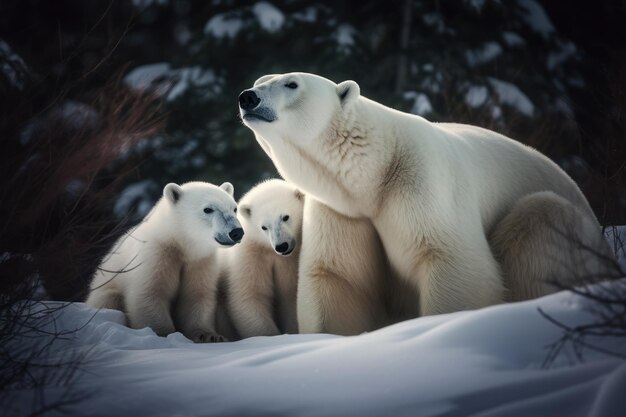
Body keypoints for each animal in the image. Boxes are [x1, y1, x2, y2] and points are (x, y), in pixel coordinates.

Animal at [236, 70, 612, 332]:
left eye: (291, 83)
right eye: (259, 81)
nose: (247, 97)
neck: (374, 173)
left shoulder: (420, 181)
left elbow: (451, 260)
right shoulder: (343, 211)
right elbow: (338, 277)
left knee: (540, 222)